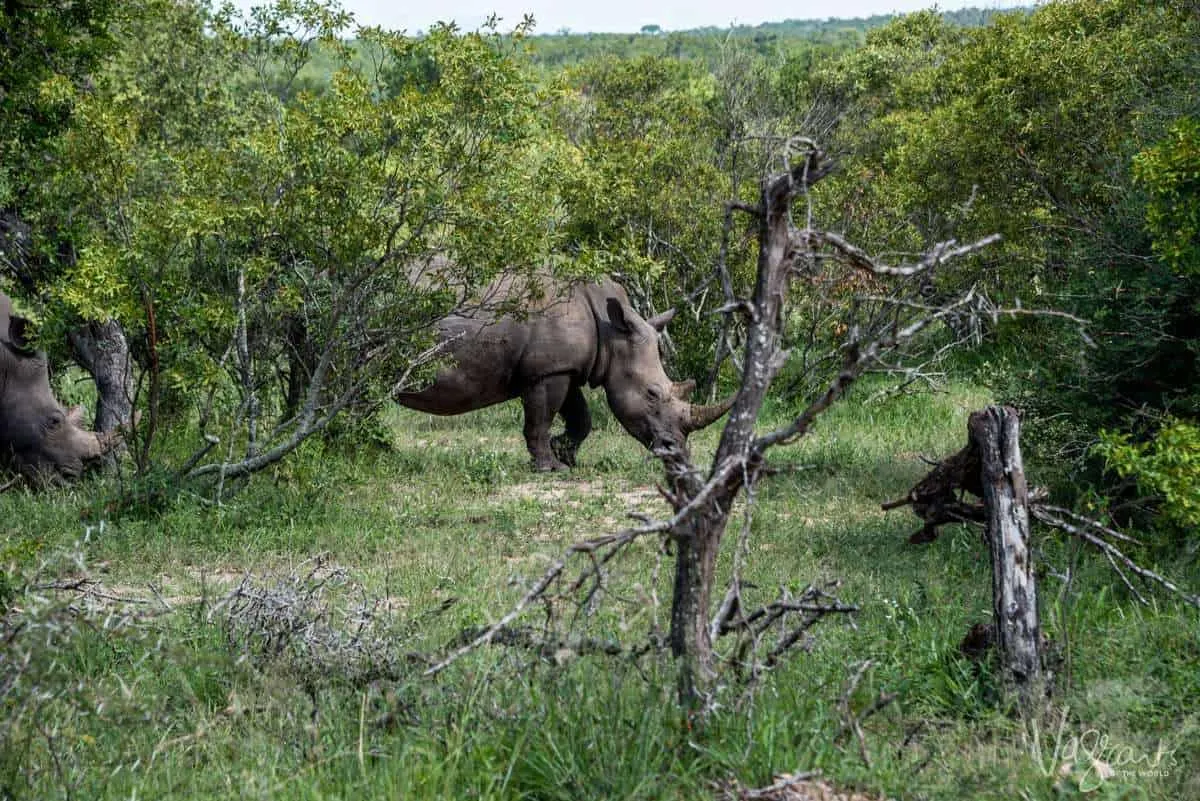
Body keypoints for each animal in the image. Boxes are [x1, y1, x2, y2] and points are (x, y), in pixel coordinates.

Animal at [393, 275, 729, 470]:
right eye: (652, 394)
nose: (677, 452)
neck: (612, 333)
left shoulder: (564, 367)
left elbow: (581, 417)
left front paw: (564, 454)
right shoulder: (546, 371)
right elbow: (540, 420)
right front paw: (550, 468)